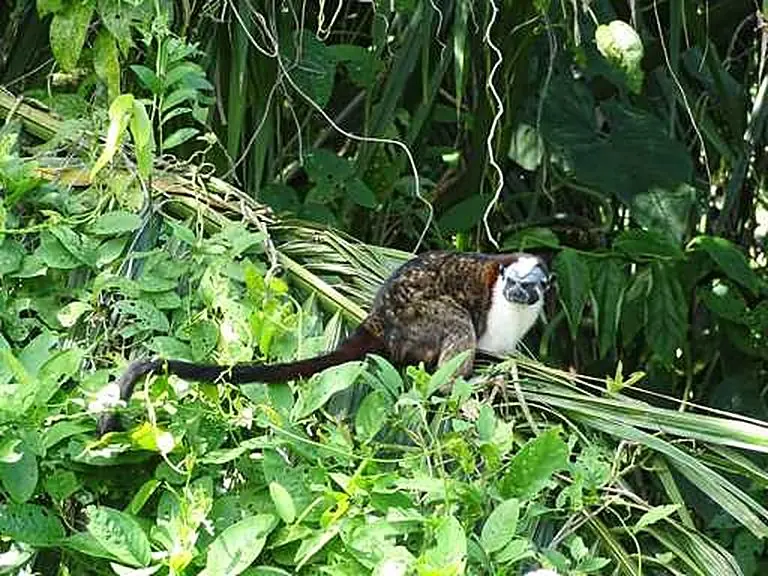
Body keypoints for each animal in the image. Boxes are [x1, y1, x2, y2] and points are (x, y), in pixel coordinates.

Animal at [97, 251, 550, 435]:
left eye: (529, 287)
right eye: (512, 284)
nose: (516, 292)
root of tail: (380, 320)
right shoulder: (497, 313)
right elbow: (484, 340)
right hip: (420, 319)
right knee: (457, 326)